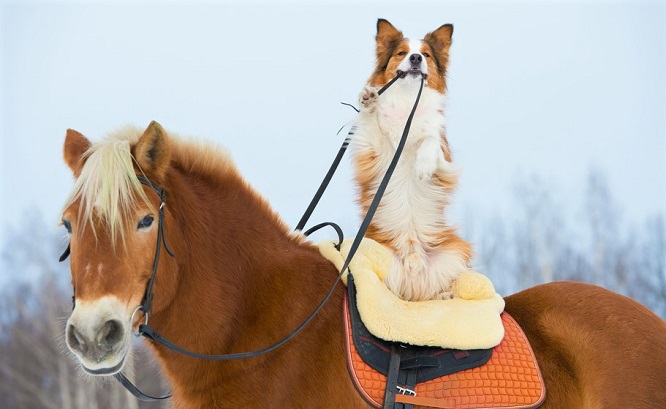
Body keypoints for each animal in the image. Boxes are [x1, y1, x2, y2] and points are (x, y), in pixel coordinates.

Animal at [352, 18, 472, 300]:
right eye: (401, 53)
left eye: (426, 54)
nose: (416, 58)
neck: (407, 101)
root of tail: (413, 269)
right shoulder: (372, 148)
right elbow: (371, 122)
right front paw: (369, 99)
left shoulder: (444, 154)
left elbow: (430, 139)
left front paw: (423, 166)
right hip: (370, 250)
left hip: (456, 250)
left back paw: (446, 295)